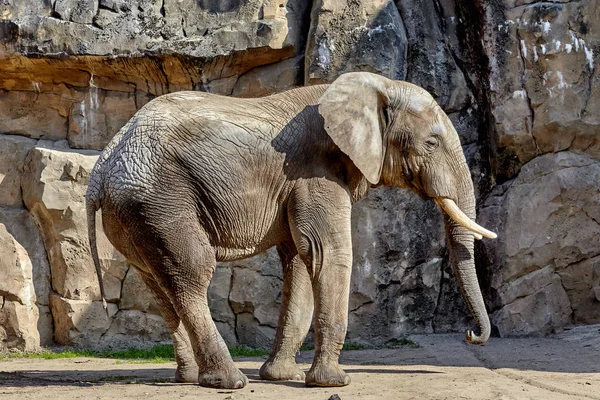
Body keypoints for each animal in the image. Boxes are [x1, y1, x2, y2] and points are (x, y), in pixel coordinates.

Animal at [85, 70, 496, 390]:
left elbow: (300, 259)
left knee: (158, 285)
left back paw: (189, 378)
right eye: (431, 142)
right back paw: (229, 382)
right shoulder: (315, 170)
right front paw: (333, 383)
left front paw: (282, 377)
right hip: (161, 200)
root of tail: (102, 166)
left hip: (134, 215)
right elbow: (327, 253)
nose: (471, 334)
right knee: (191, 276)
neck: (375, 86)